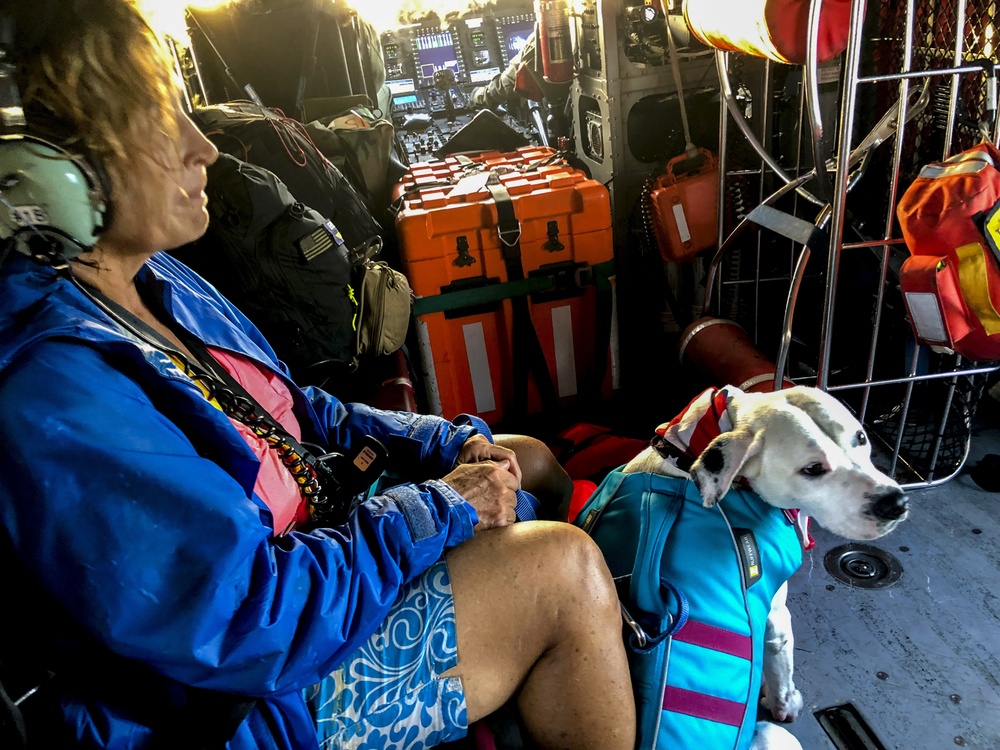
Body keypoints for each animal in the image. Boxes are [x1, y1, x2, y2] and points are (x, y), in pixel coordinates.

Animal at [620, 388, 912, 750]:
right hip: (776, 738)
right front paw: (783, 701)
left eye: (861, 437)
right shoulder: (777, 617)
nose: (895, 503)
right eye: (813, 469)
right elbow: (781, 670)